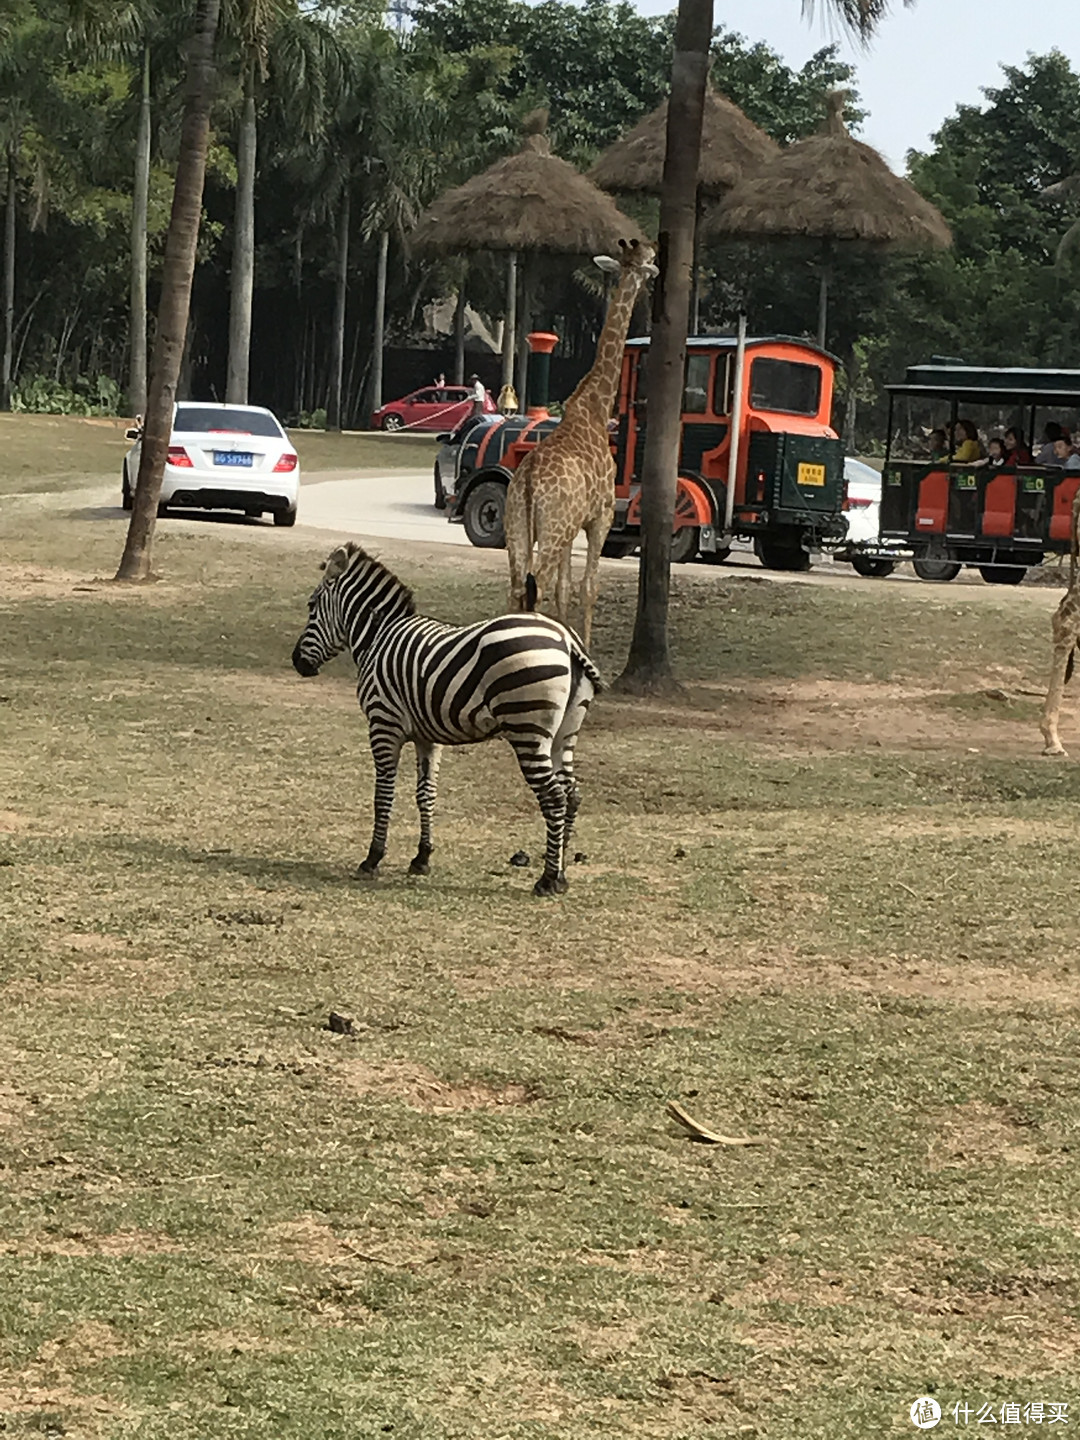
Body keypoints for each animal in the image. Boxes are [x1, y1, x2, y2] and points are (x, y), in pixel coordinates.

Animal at [292, 544, 604, 892]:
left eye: (311, 606)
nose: (297, 663)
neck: (378, 637)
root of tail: (566, 637)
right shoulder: (427, 736)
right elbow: (425, 794)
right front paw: (422, 857)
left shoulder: (383, 723)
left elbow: (383, 794)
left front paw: (372, 859)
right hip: (565, 732)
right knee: (572, 794)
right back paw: (561, 874)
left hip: (528, 732)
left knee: (554, 797)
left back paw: (547, 879)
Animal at [506, 234, 659, 648]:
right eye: (649, 259)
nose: (656, 270)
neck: (594, 404)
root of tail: (528, 482)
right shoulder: (599, 516)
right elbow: (588, 587)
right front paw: (585, 650)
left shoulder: (575, 524)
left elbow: (565, 589)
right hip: (554, 527)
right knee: (536, 585)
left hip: (518, 528)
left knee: (517, 587)